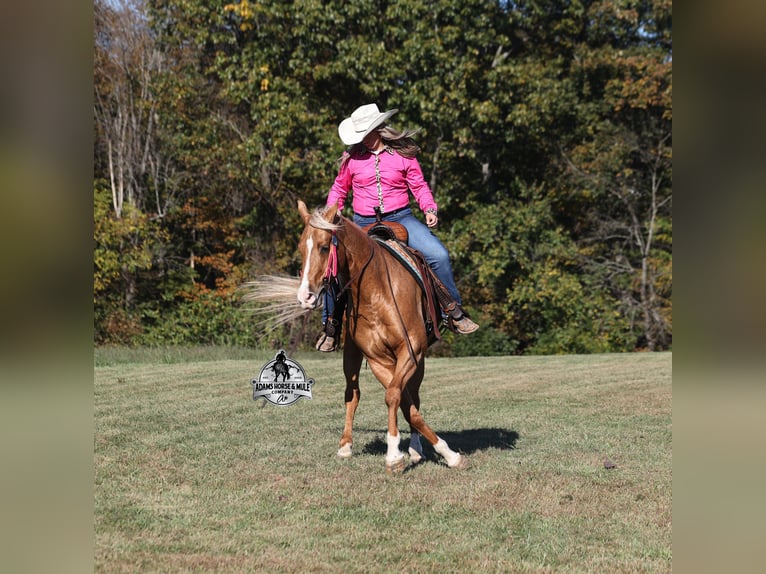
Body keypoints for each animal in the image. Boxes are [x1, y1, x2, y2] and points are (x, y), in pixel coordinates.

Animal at [296, 200, 468, 473]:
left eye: (324, 247)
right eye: (301, 248)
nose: (305, 296)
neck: (376, 290)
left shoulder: (411, 351)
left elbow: (401, 400)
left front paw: (434, 453)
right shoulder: (378, 359)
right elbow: (400, 400)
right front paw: (397, 454)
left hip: (419, 361)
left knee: (413, 395)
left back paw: (415, 448)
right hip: (352, 354)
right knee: (352, 393)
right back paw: (346, 445)